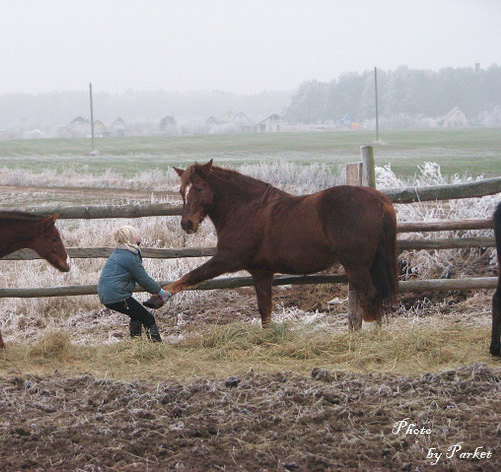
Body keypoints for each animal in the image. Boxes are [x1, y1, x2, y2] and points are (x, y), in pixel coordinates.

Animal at [146, 160, 398, 326]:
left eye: (198, 188)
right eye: (182, 190)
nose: (187, 224)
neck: (246, 209)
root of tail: (379, 198)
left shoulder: (227, 259)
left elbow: (191, 276)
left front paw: (157, 299)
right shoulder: (261, 271)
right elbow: (264, 308)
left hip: (356, 265)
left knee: (370, 296)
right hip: (371, 263)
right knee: (376, 297)